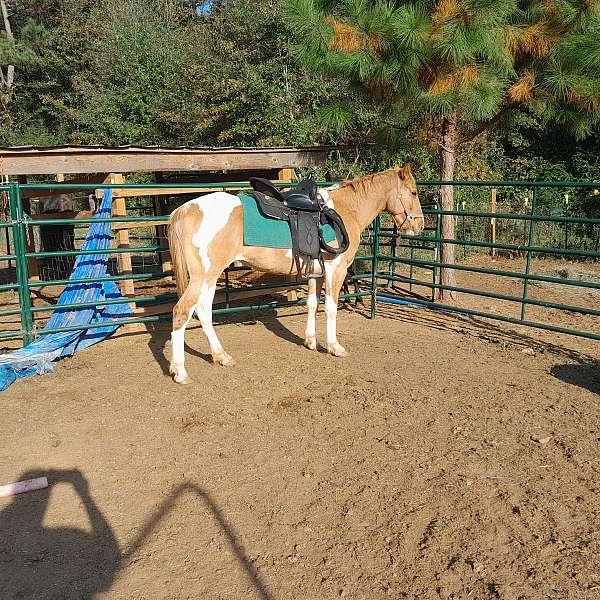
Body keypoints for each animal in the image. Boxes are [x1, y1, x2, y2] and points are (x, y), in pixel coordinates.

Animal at [166, 163, 424, 384]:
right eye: (412, 192)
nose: (419, 226)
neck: (345, 210)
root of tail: (184, 210)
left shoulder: (316, 274)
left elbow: (312, 304)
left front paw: (310, 342)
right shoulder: (336, 271)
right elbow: (331, 308)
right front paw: (334, 347)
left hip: (210, 278)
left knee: (203, 311)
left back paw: (221, 356)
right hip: (203, 277)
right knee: (182, 312)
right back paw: (180, 371)